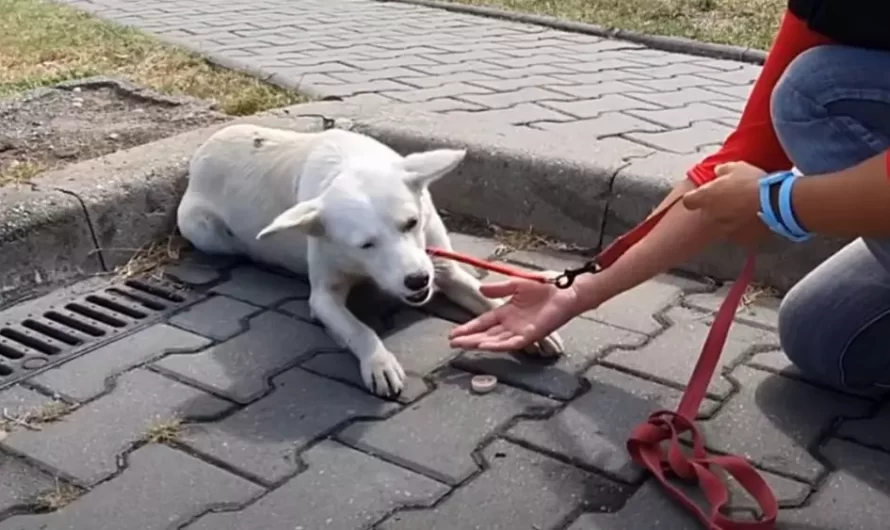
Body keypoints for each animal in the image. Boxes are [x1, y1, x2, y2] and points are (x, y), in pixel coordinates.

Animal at [174, 124, 560, 396]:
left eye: (411, 223)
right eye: (365, 245)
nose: (418, 280)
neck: (351, 163)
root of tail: (205, 146)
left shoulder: (443, 267)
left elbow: (487, 296)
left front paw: (530, 326)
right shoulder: (324, 297)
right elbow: (359, 330)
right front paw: (379, 361)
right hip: (202, 229)